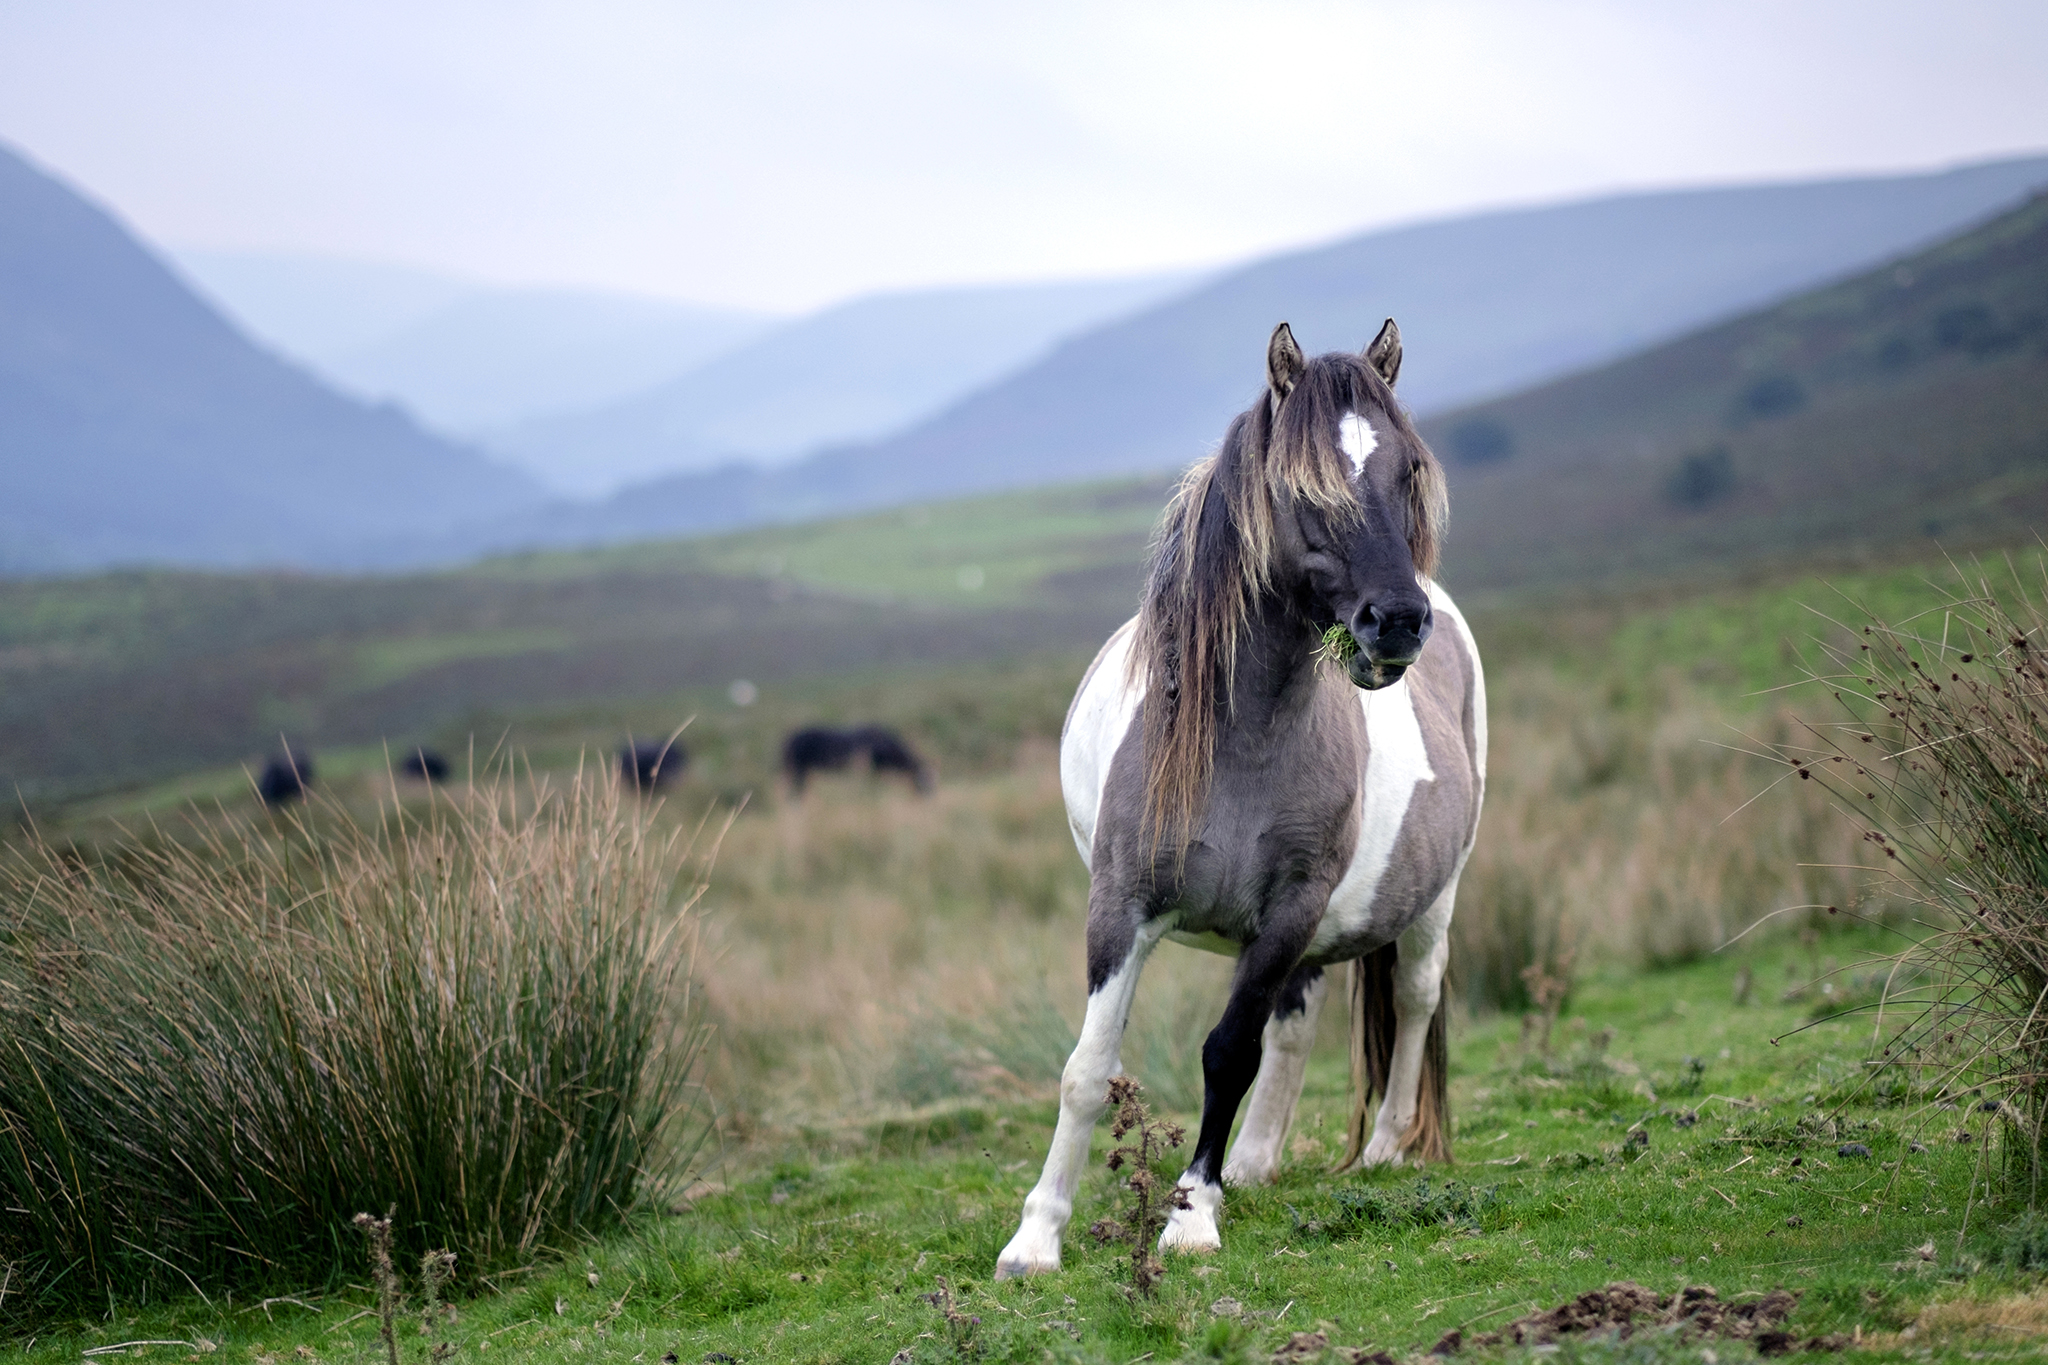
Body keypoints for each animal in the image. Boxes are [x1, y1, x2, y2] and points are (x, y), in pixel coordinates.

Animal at [995, 320, 1486, 1277]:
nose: (1397, 621)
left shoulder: (1289, 910)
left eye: (1407, 468)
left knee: (1412, 998)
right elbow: (1088, 1066)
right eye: (1303, 485)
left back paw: (1385, 1146)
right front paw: (1036, 1237)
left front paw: (1191, 1212)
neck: (1239, 742)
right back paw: (1257, 1160)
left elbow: (1227, 1052)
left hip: (1432, 899)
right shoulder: (1122, 906)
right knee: (1297, 1025)